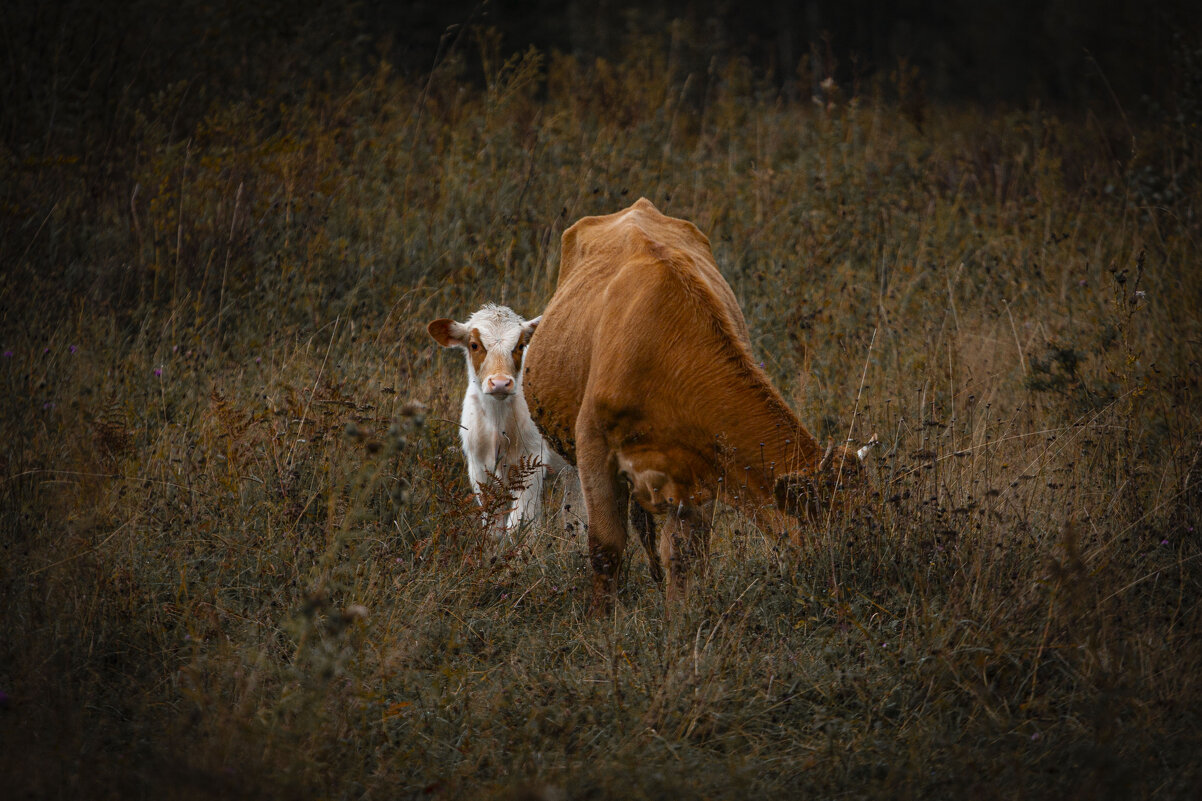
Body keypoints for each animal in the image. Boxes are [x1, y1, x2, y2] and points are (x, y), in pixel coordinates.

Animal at [430, 303, 564, 534]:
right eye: (474, 345)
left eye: (520, 345)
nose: (500, 383)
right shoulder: (478, 466)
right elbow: (493, 526)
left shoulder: (533, 461)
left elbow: (519, 524)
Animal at [526, 196, 865, 608]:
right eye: (825, 524)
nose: (851, 573)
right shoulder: (593, 449)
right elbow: (606, 548)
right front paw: (604, 617)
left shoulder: (700, 471)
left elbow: (684, 554)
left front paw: (680, 616)